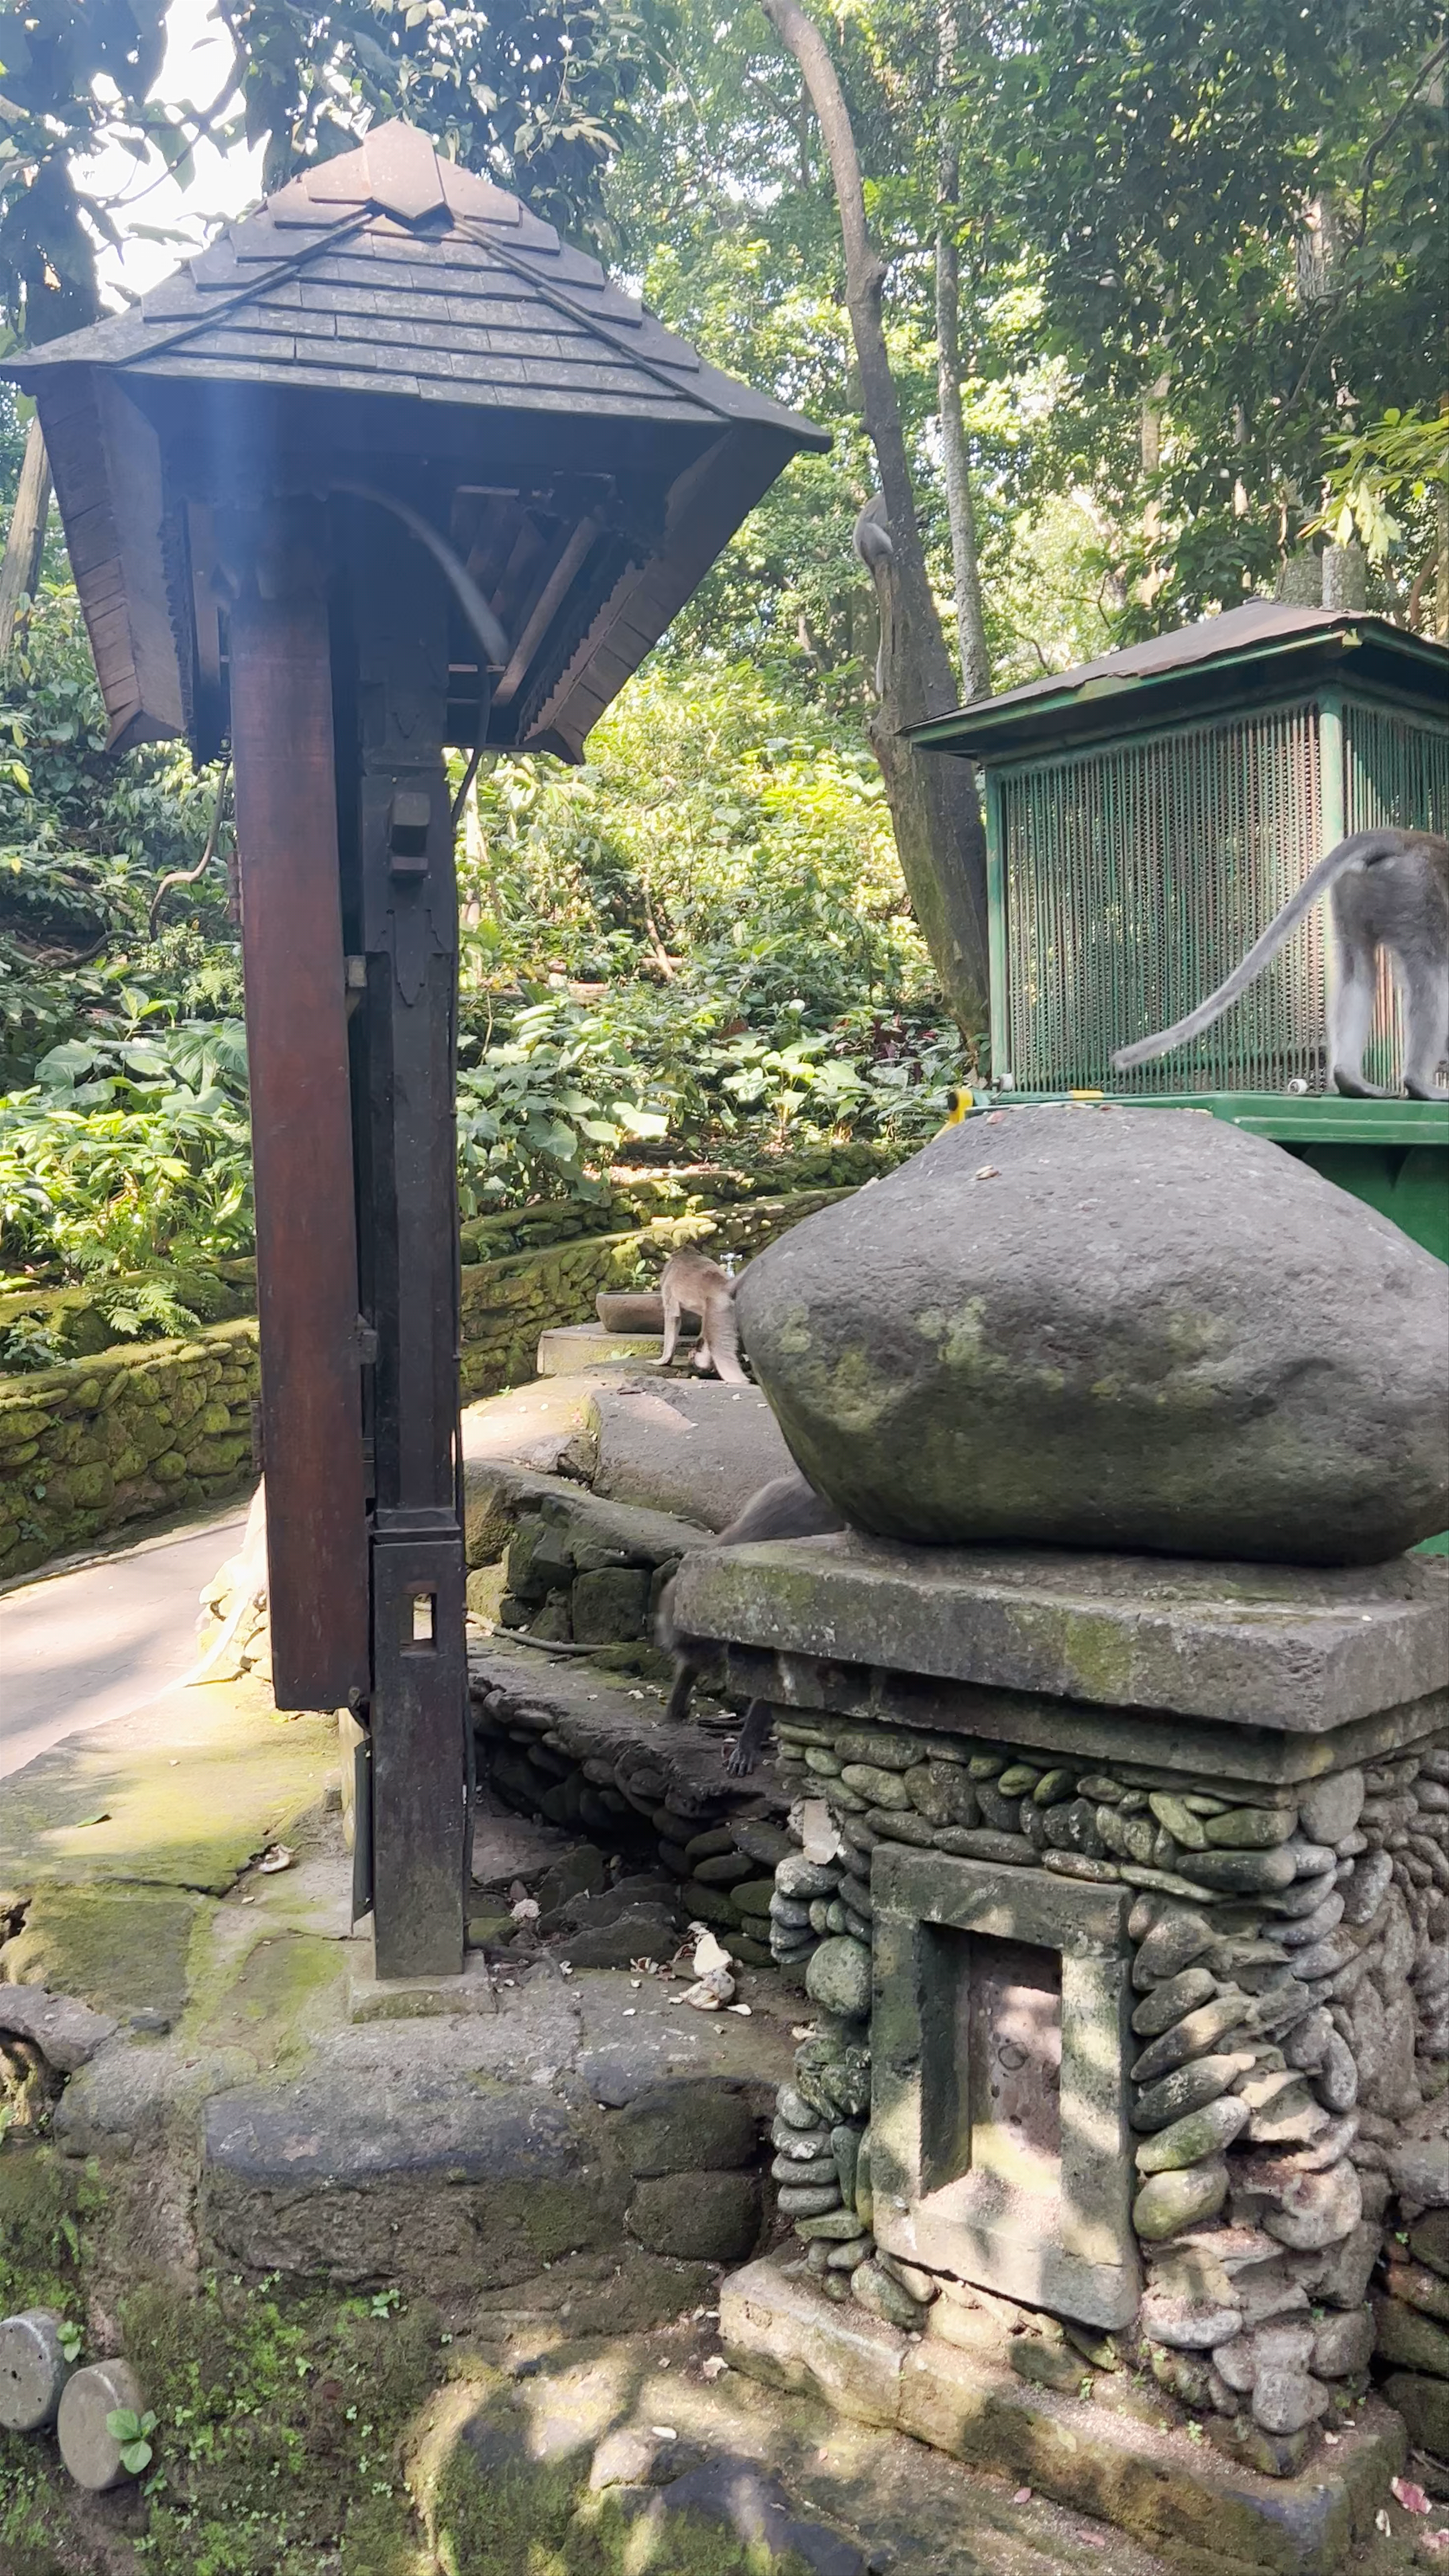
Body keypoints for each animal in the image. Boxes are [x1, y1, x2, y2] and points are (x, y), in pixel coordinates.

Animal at [655, 1247, 748, 1385]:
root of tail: (725, 1285)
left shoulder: (668, 1283)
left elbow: (673, 1315)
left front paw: (664, 1360)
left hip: (718, 1311)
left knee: (718, 1347)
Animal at [1112, 828, 1449, 1101]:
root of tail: (1408, 839)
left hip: (1358, 890)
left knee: (1358, 969)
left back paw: (1349, 1078)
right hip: (1418, 889)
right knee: (1432, 973)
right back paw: (1418, 1083)